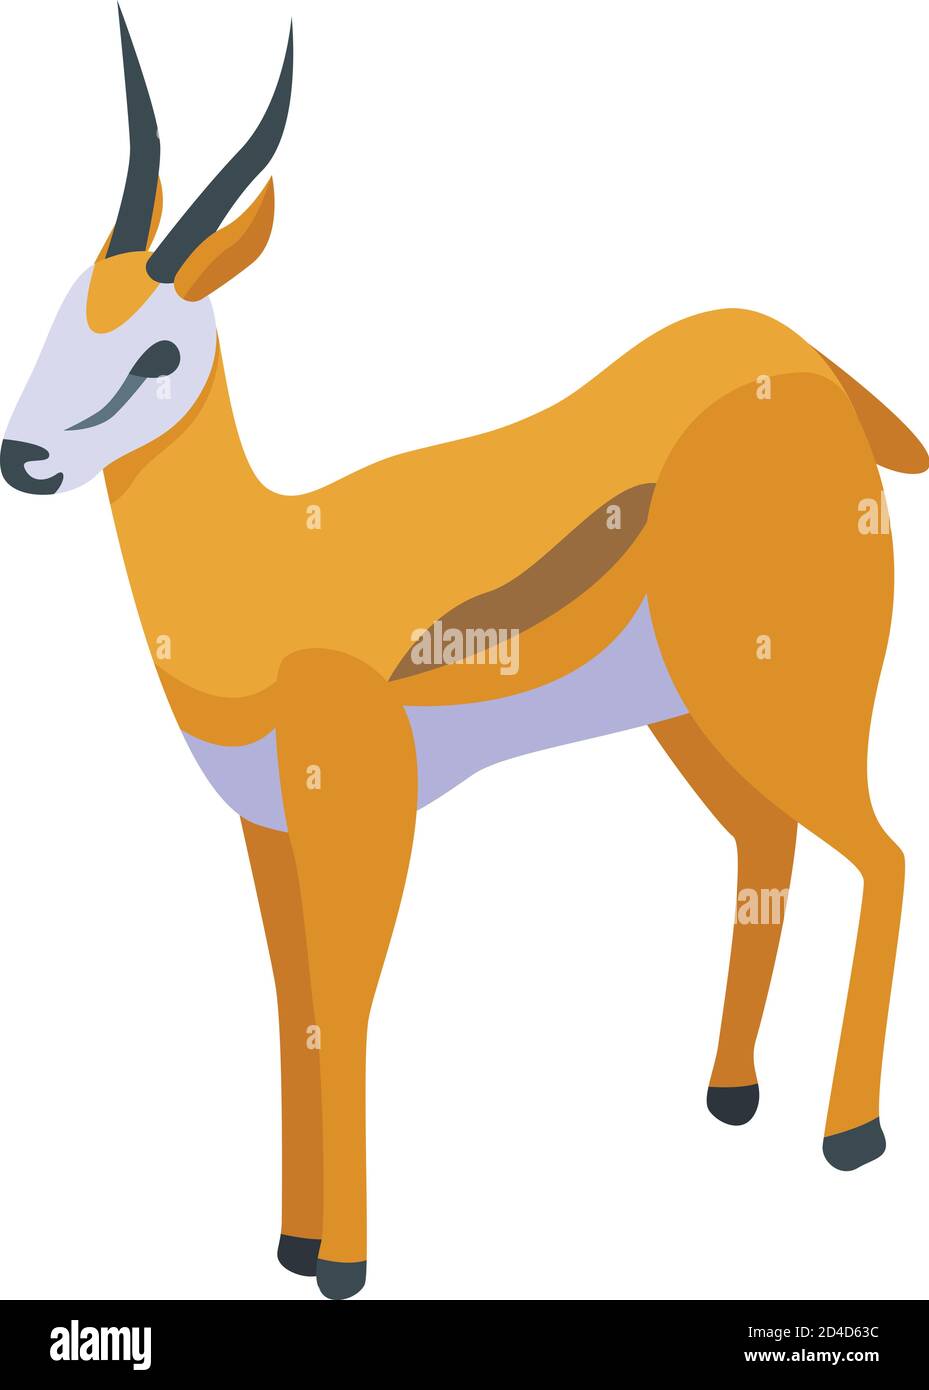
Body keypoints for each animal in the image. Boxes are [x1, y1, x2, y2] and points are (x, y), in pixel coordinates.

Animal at [3, 10, 924, 1300]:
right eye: (58, 314)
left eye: (158, 354)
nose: (23, 459)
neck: (266, 573)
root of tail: (808, 362)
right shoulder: (267, 827)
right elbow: (293, 1009)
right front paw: (288, 1244)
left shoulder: (365, 818)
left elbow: (346, 1003)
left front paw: (343, 1263)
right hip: (690, 717)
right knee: (765, 843)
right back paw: (729, 1094)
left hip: (783, 696)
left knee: (881, 853)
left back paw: (849, 1135)